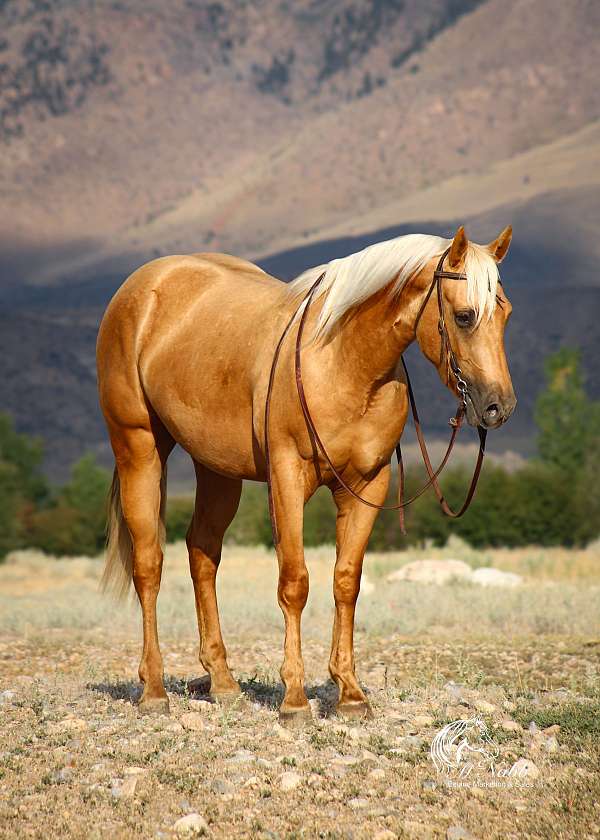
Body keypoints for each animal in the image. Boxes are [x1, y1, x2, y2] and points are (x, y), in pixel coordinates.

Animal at [96, 224, 516, 722]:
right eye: (465, 316)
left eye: (505, 313)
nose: (498, 407)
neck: (344, 362)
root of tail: (143, 285)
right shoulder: (287, 479)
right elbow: (295, 583)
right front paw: (295, 699)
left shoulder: (367, 484)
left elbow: (346, 582)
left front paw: (350, 693)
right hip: (139, 448)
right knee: (149, 565)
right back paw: (154, 690)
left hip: (217, 471)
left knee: (202, 554)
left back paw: (222, 682)